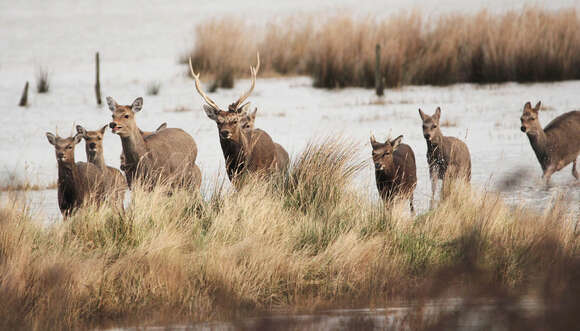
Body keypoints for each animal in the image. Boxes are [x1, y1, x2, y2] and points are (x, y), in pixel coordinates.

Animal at [189, 53, 286, 183]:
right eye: (218, 122)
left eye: (235, 120)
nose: (225, 132)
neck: (239, 163)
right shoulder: (232, 177)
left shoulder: (255, 174)